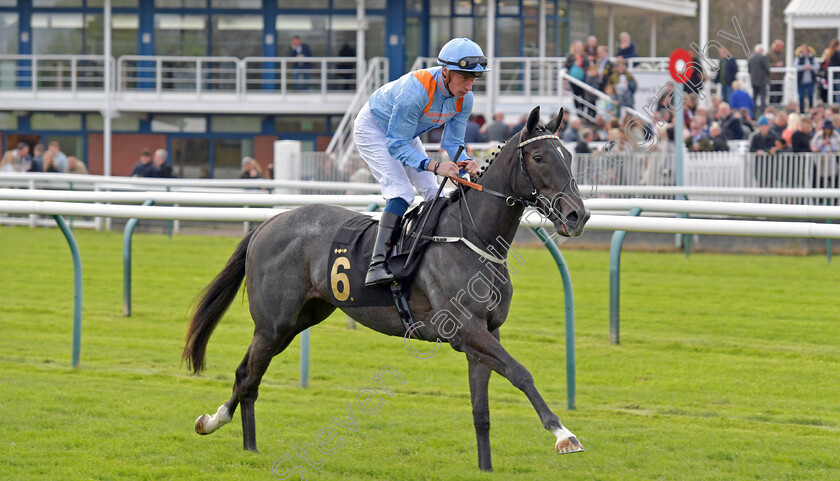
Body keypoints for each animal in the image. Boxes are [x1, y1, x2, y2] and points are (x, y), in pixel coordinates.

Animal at [184, 105, 592, 468]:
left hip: (301, 318)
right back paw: (234, 436)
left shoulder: (487, 331)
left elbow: (482, 410)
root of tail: (266, 224)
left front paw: (486, 467)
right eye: (538, 156)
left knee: (247, 372)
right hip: (274, 323)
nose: (578, 215)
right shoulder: (465, 328)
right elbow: (521, 372)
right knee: (248, 375)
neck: (473, 237)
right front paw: (563, 434)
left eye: (569, 155)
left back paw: (224, 429)